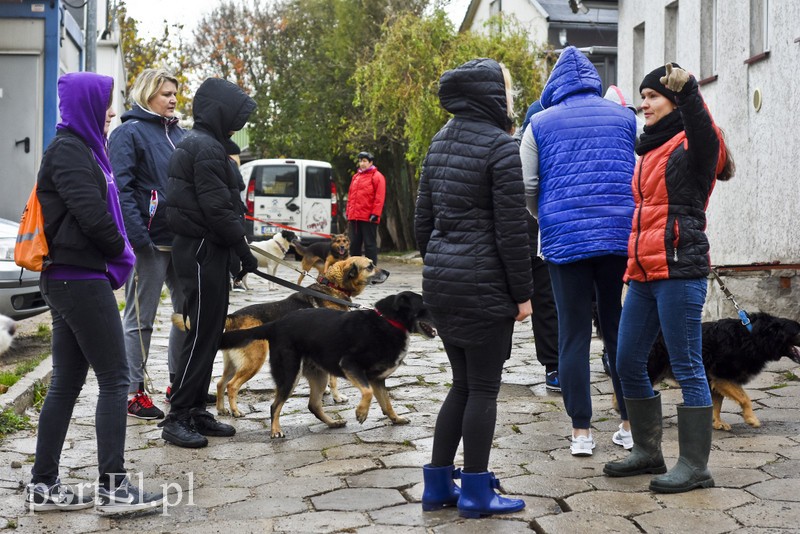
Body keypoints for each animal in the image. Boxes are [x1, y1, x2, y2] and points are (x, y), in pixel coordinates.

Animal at [219, 294, 438, 440]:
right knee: (275, 405)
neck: (389, 321)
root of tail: (275, 325)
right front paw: (361, 413)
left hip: (319, 376)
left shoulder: (377, 379)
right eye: (425, 307)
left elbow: (387, 403)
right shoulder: (351, 365)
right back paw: (275, 430)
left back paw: (333, 423)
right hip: (290, 374)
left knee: (313, 405)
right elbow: (367, 393)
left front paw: (396, 419)